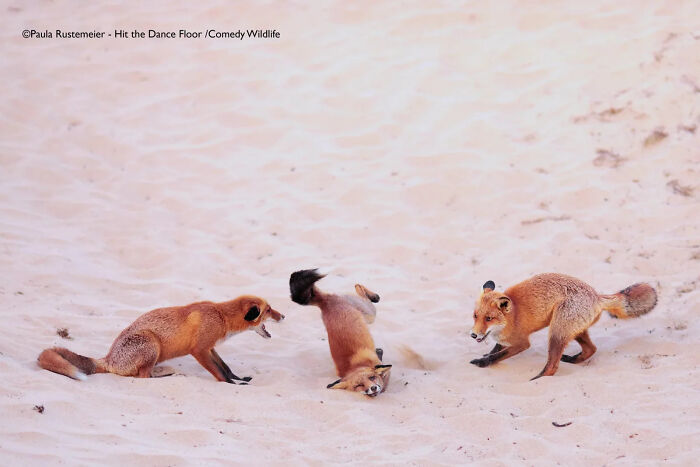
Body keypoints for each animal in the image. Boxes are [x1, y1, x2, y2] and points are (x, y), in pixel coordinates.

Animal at [38, 295, 284, 383]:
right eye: (269, 310)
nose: (283, 316)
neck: (220, 315)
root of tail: (109, 359)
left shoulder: (210, 347)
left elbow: (226, 367)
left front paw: (238, 378)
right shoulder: (199, 350)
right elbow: (219, 374)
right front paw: (232, 384)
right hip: (151, 343)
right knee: (142, 377)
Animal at [289, 269, 391, 397]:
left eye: (372, 378)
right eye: (359, 385)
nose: (372, 388)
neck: (356, 365)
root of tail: (325, 302)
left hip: (369, 313)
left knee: (362, 291)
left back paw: (373, 295)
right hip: (367, 314)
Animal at [469, 273, 657, 380]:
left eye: (489, 318)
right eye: (475, 316)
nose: (473, 335)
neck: (512, 315)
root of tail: (597, 296)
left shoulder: (522, 343)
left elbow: (498, 355)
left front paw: (483, 362)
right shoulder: (504, 339)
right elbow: (496, 349)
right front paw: (486, 355)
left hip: (556, 332)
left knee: (552, 366)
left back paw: (538, 379)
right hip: (573, 330)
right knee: (591, 349)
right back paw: (573, 359)